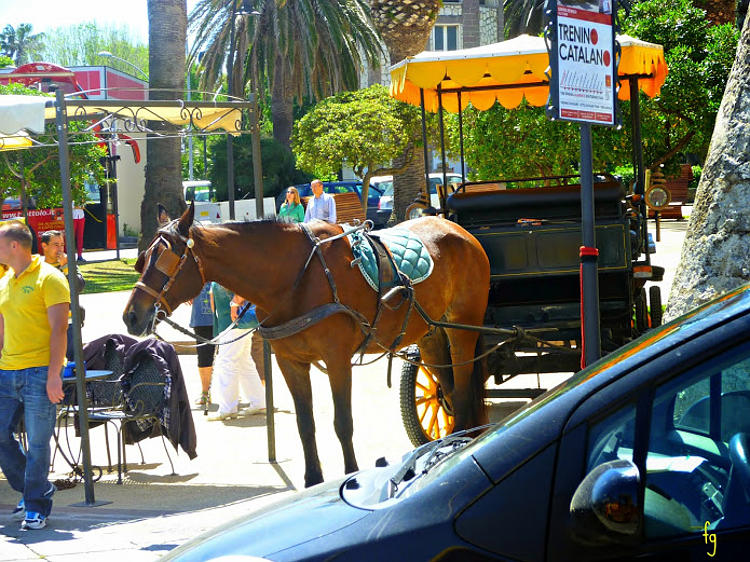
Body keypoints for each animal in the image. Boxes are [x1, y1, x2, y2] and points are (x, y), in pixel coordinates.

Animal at [121, 202, 490, 486]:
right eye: (142, 260)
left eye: (166, 261)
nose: (131, 316)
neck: (295, 278)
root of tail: (457, 229)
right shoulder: (289, 361)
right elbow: (305, 424)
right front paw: (313, 479)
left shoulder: (337, 359)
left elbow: (342, 422)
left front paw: (351, 474)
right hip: (430, 333)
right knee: (448, 390)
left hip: (462, 328)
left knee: (461, 388)